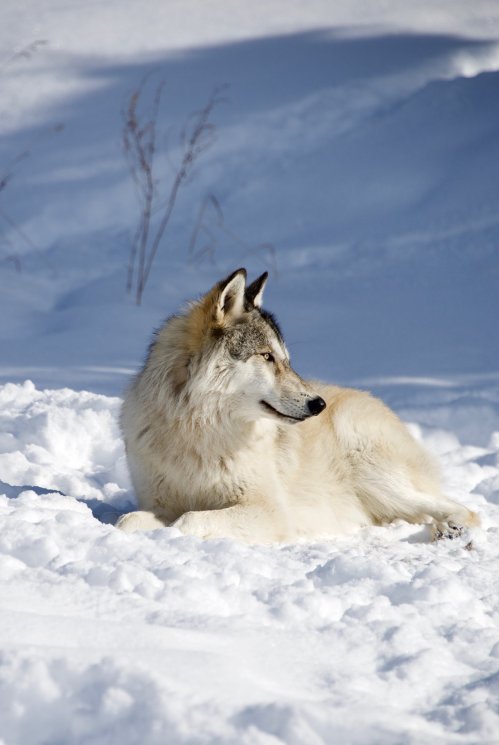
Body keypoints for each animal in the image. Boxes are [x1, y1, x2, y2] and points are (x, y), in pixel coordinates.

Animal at [117, 268, 479, 543]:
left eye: (286, 360)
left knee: (465, 508)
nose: (318, 404)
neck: (198, 429)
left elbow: (189, 519)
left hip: (375, 472)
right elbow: (128, 520)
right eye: (266, 356)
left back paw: (450, 530)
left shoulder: (269, 511)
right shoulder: (158, 502)